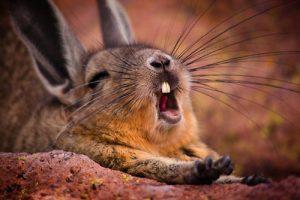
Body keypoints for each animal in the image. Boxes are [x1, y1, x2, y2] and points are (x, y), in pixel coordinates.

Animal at [0, 0, 270, 185]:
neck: (161, 143)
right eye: (96, 79)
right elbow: (160, 166)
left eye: (150, 47)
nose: (161, 61)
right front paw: (214, 167)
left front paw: (249, 176)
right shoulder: (106, 155)